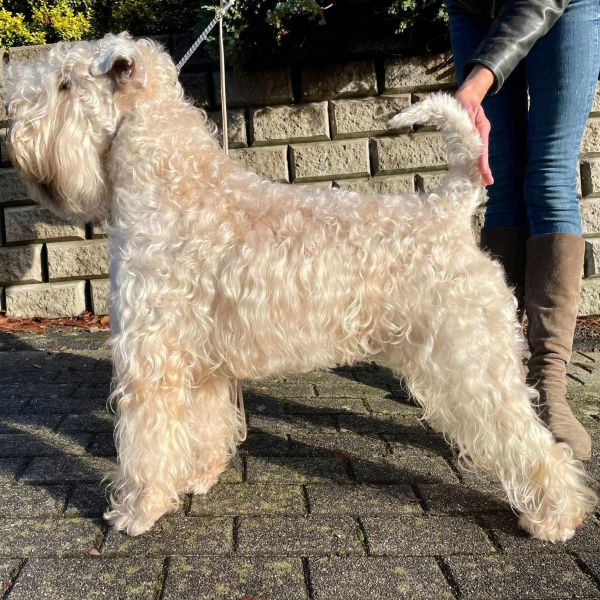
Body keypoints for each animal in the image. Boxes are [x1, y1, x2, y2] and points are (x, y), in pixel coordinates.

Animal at [7, 31, 596, 540]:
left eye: (65, 83)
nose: (11, 126)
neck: (173, 186)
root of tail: (447, 209)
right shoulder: (200, 361)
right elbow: (204, 427)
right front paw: (199, 476)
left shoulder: (152, 357)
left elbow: (147, 441)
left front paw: (137, 510)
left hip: (469, 359)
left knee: (530, 439)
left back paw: (555, 517)